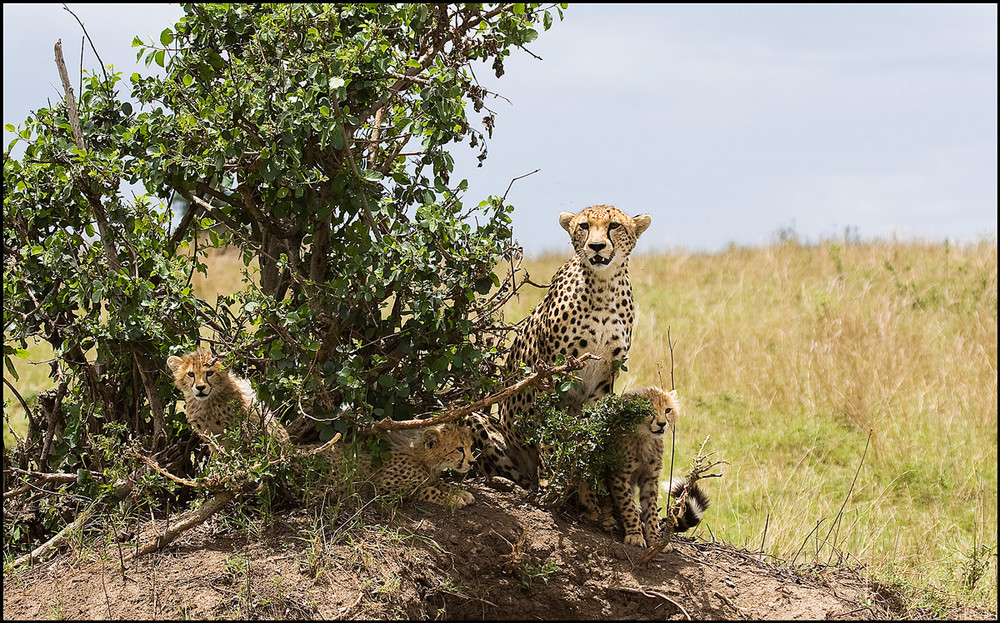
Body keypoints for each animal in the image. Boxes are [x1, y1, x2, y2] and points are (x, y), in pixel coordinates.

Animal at [470, 207, 652, 490]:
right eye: (584, 226)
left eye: (614, 226)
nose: (596, 246)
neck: (604, 286)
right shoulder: (551, 373)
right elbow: (549, 430)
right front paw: (551, 481)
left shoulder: (604, 377)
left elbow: (590, 432)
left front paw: (588, 482)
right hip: (480, 423)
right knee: (515, 474)